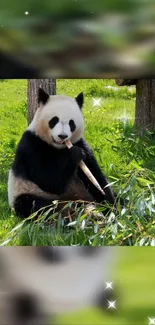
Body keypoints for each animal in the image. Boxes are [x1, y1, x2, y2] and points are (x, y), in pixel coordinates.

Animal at [7, 88, 115, 220]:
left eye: (71, 123)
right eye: (54, 120)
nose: (62, 136)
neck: (59, 147)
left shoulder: (80, 142)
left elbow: (94, 175)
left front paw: (111, 205)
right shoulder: (31, 145)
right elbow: (48, 179)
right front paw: (75, 154)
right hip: (26, 191)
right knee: (33, 205)